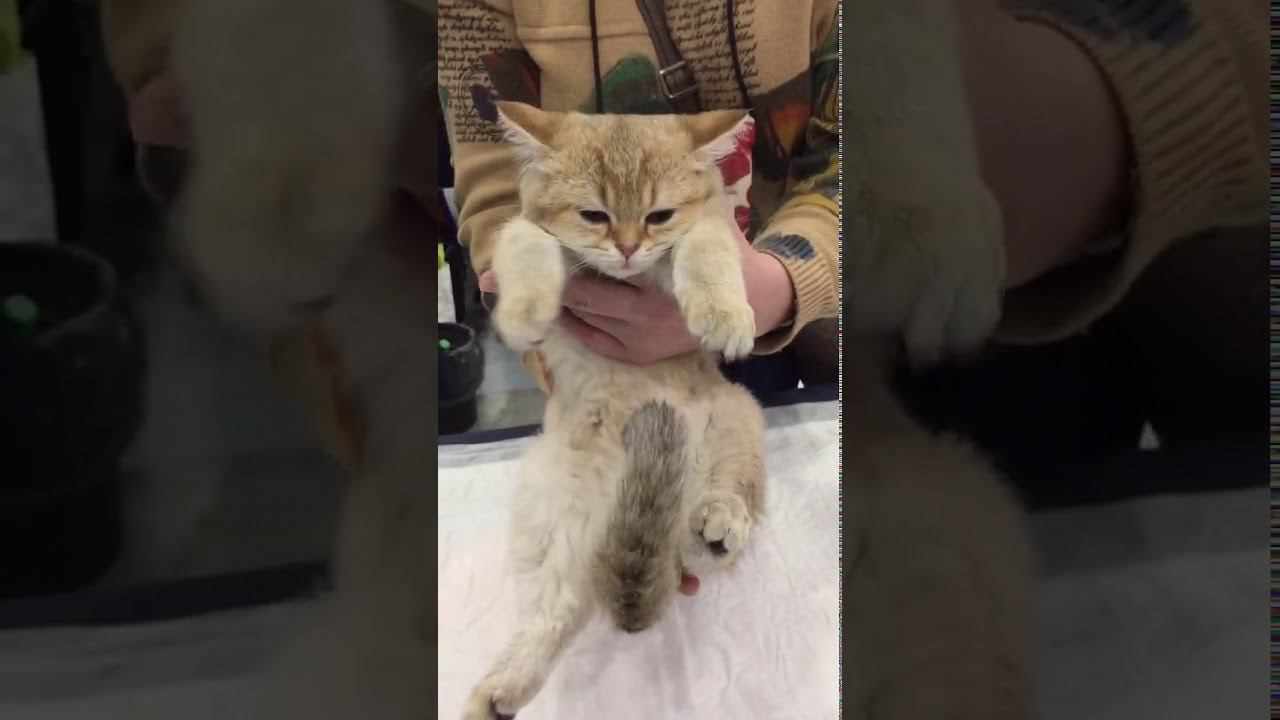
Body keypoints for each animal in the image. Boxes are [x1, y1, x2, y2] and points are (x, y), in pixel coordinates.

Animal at [459, 103, 769, 719]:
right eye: (594, 215)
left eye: (658, 214)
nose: (626, 247)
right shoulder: (526, 227)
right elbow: (524, 241)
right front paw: (524, 311)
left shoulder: (703, 228)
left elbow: (706, 244)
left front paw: (724, 313)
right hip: (550, 526)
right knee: (557, 614)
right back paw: (499, 693)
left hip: (736, 419)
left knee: (716, 521)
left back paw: (715, 526)